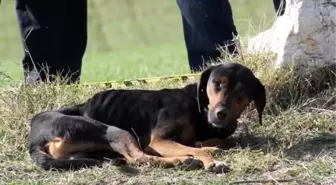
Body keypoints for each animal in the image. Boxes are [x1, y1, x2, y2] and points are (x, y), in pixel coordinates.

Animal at [28, 61, 266, 173]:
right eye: (217, 83)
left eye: (242, 92)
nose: (220, 114)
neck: (198, 106)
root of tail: (33, 139)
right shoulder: (159, 141)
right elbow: (199, 149)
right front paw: (211, 160)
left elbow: (223, 141)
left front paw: (212, 146)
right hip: (112, 130)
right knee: (139, 157)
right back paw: (182, 161)